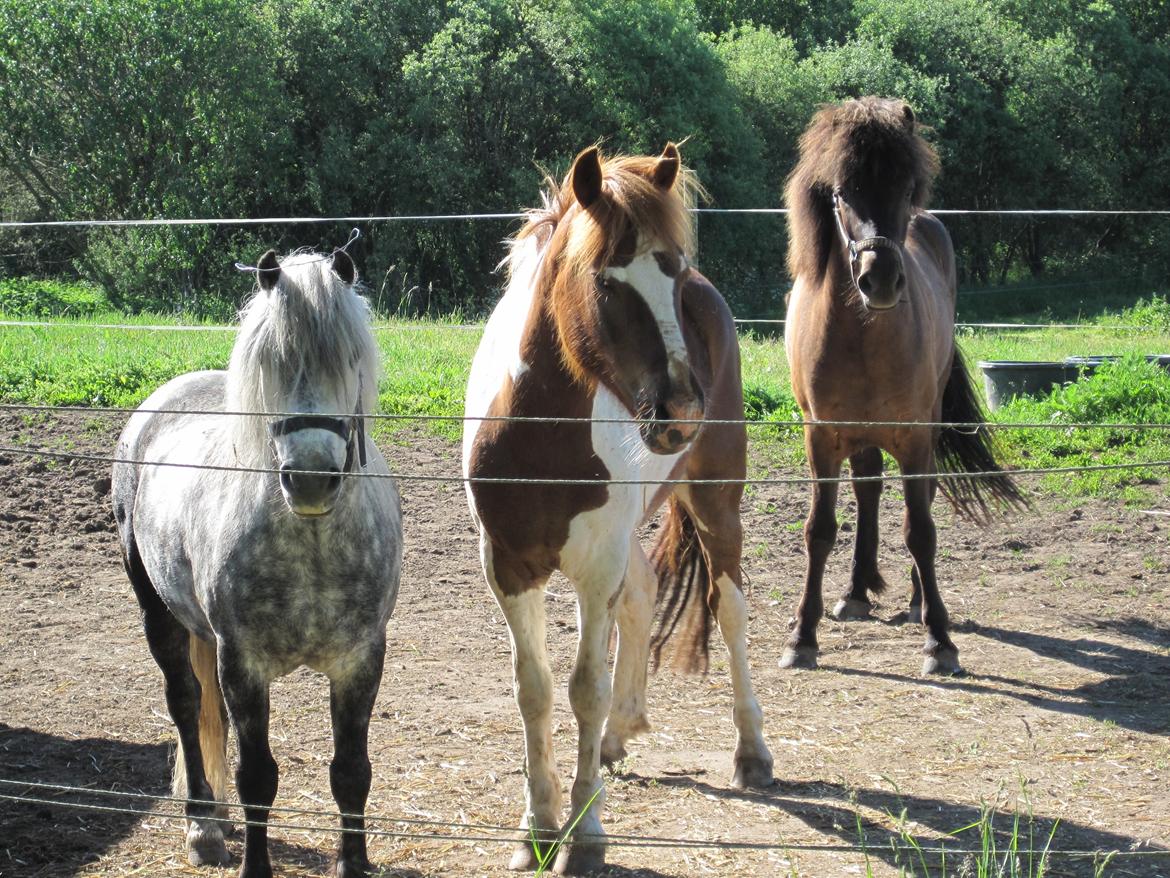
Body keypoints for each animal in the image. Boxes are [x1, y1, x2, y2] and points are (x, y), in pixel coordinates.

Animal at [111, 247, 402, 878]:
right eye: (272, 361)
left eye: (349, 358)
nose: (312, 479)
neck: (312, 548)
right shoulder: (242, 664)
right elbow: (257, 777)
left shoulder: (361, 662)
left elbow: (351, 773)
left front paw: (354, 863)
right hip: (157, 613)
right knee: (185, 704)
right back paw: (203, 826)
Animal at [462, 143, 773, 875]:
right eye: (606, 283)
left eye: (672, 274)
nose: (681, 412)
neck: (540, 434)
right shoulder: (508, 567)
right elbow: (535, 689)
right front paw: (537, 826)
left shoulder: (593, 569)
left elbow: (585, 689)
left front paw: (586, 834)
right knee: (645, 595)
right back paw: (618, 735)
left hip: (717, 503)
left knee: (730, 610)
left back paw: (751, 752)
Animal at [781, 97, 1024, 676]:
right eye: (843, 191)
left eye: (905, 187)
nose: (882, 278)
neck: (863, 336)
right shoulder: (820, 438)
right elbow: (819, 530)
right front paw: (803, 635)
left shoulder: (914, 436)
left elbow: (921, 529)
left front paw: (940, 640)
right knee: (868, 489)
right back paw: (854, 593)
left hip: (924, 429)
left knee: (922, 499)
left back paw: (915, 602)